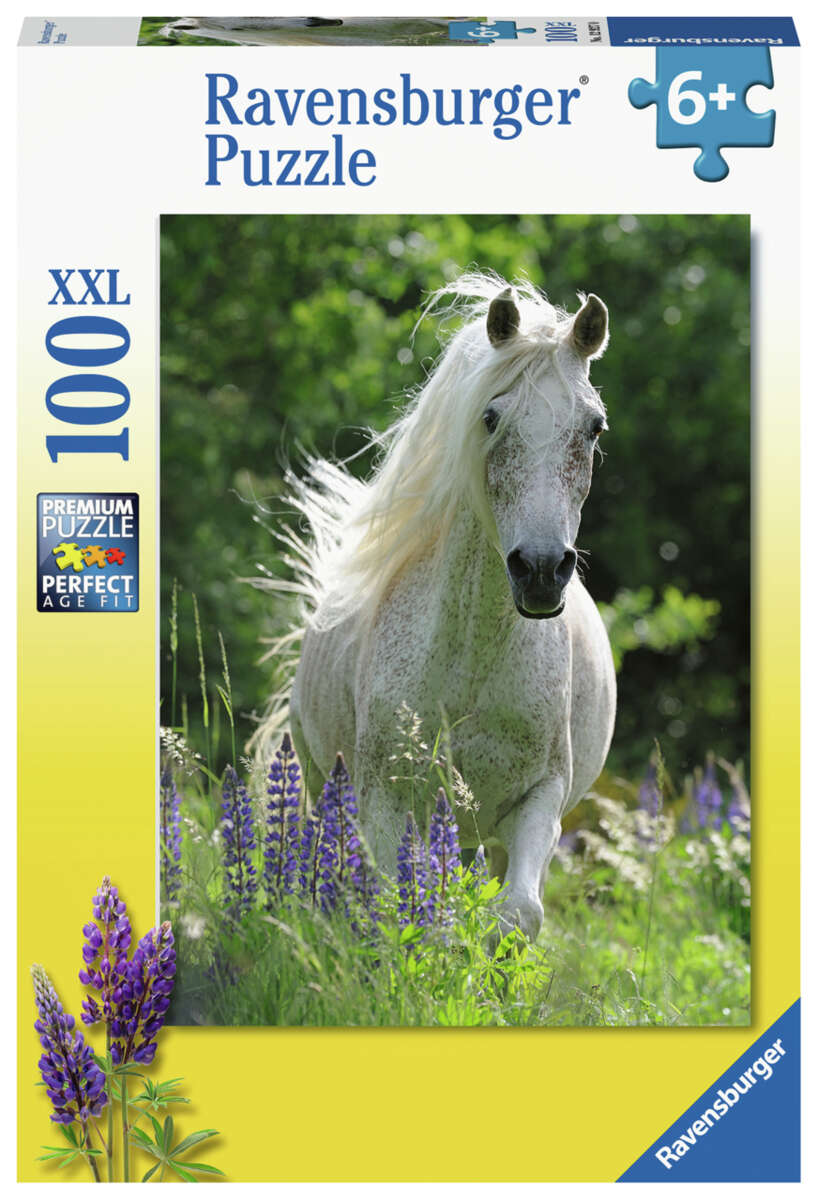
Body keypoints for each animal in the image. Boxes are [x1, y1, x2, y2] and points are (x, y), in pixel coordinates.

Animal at [262, 273, 616, 941]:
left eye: (594, 427)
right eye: (491, 416)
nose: (539, 571)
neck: (471, 660)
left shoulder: (540, 799)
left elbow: (518, 914)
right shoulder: (384, 799)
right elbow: (395, 910)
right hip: (323, 785)